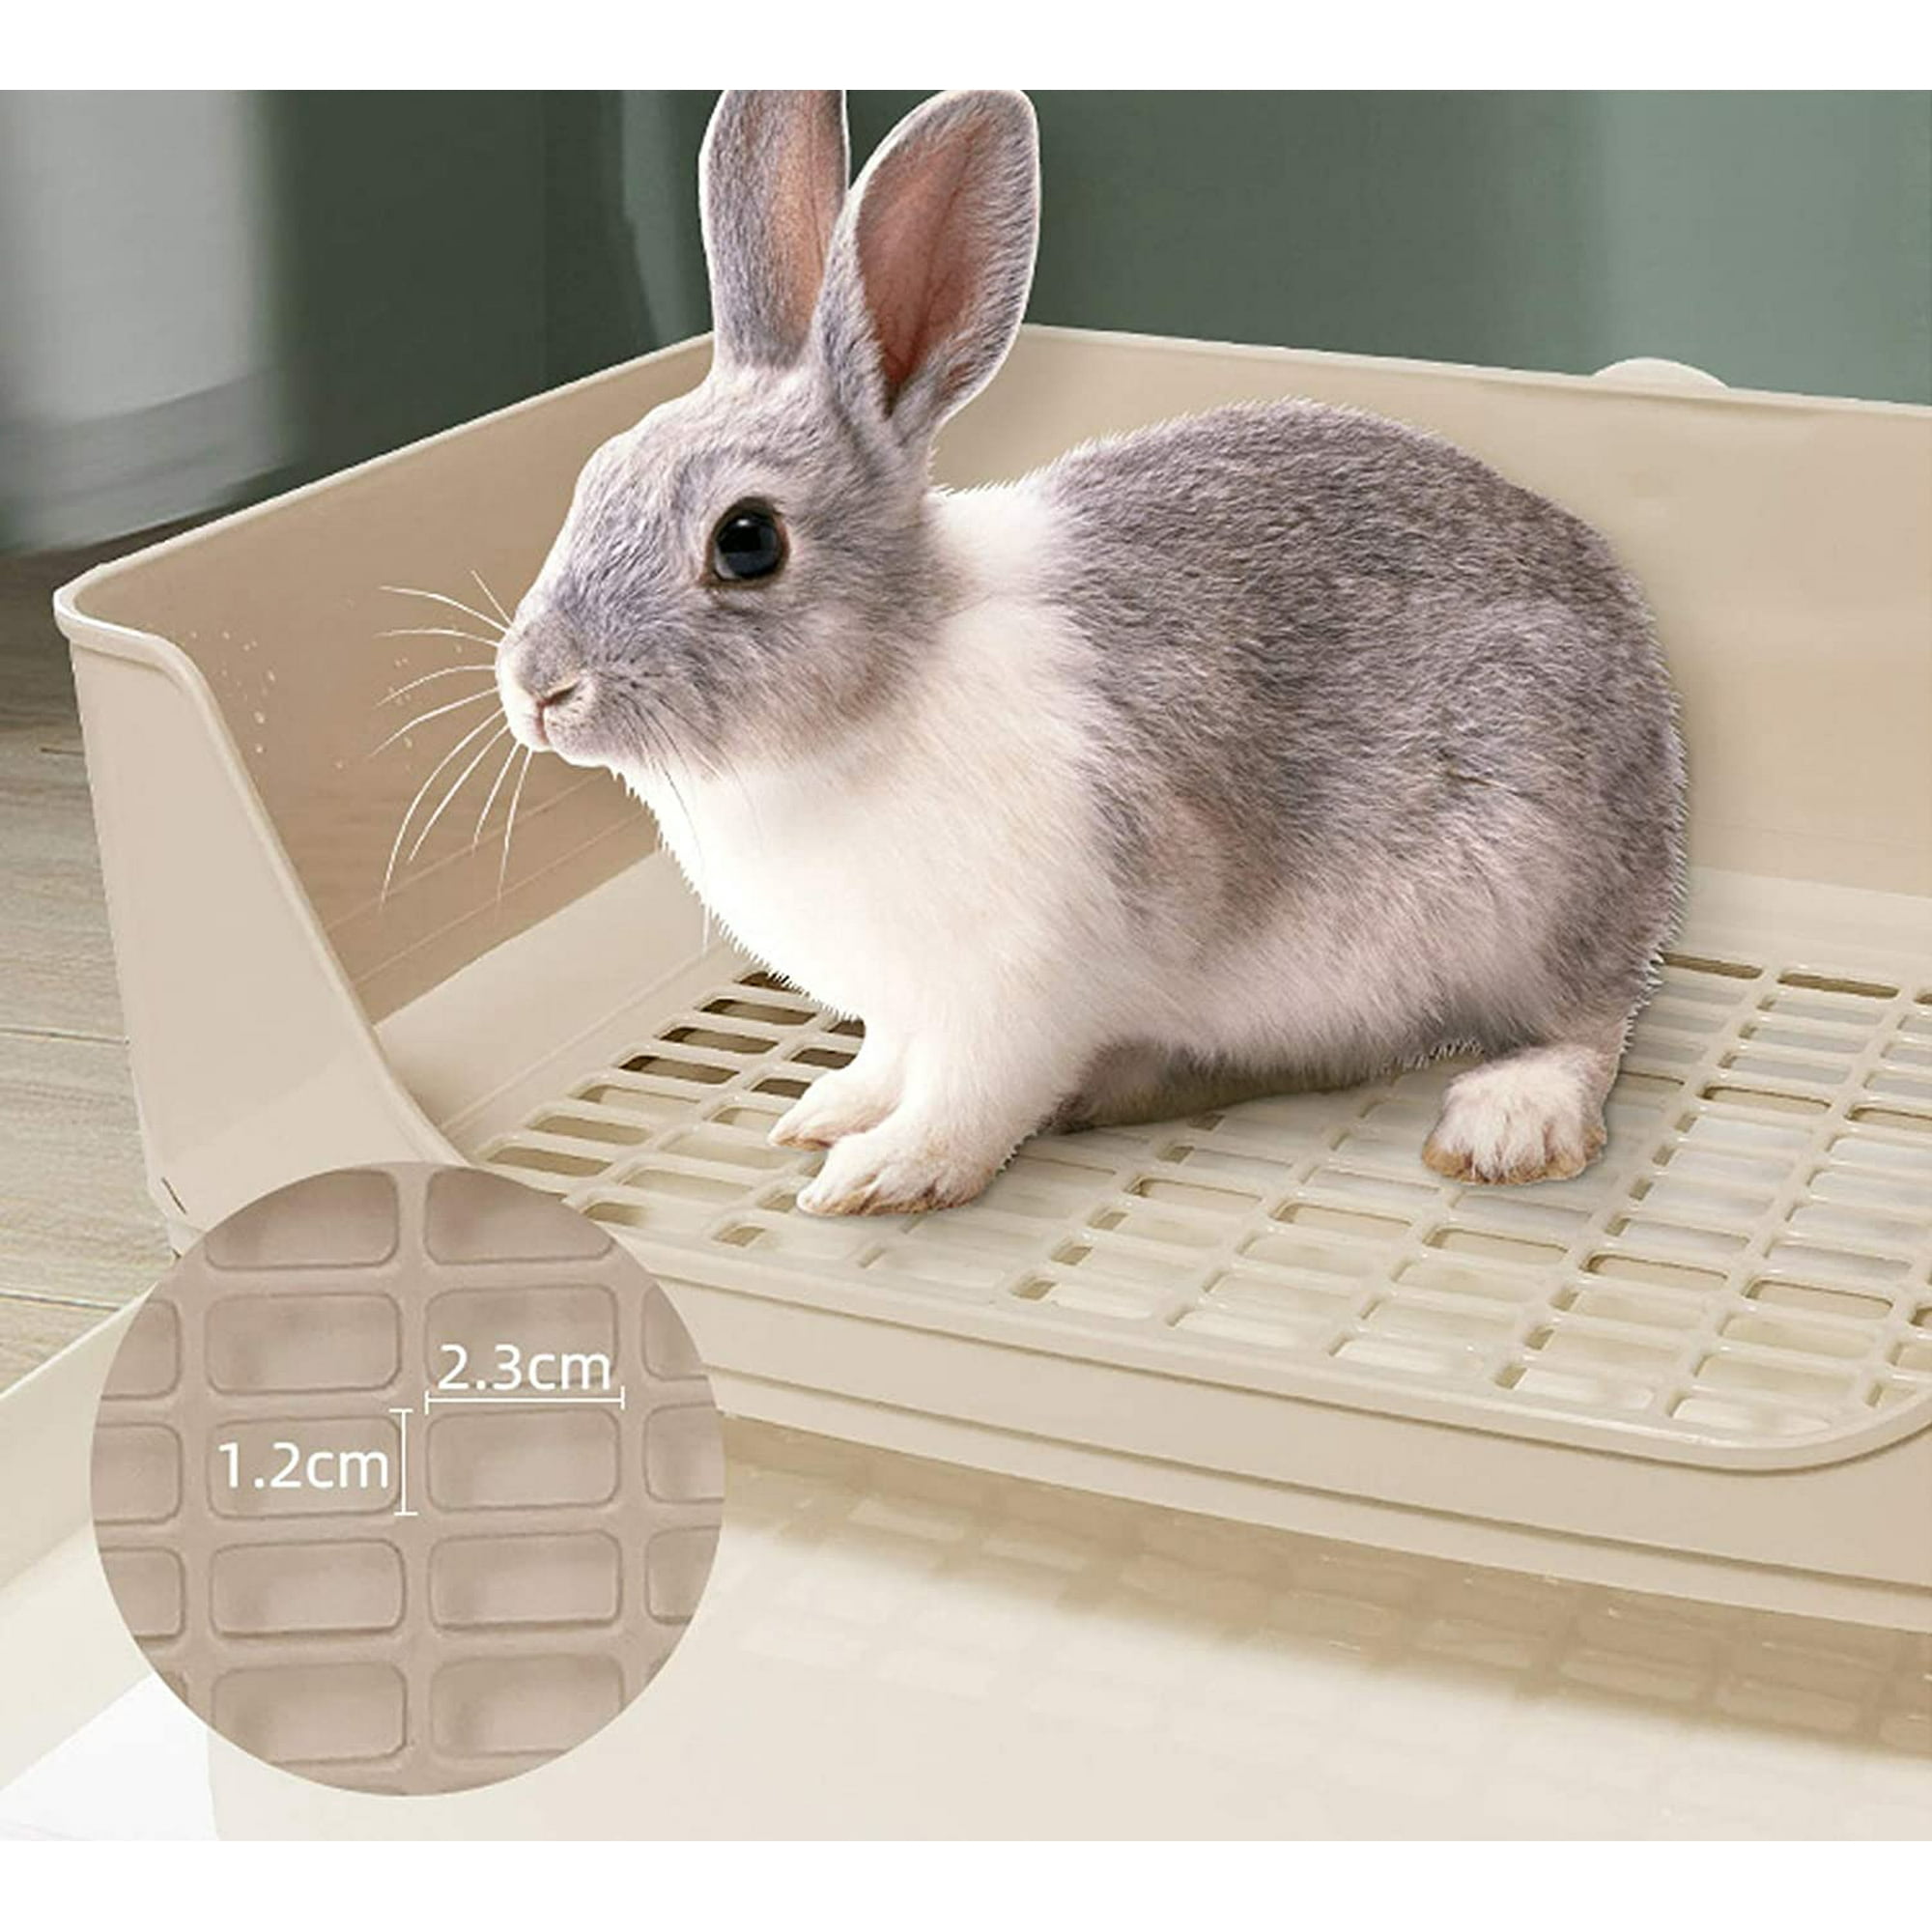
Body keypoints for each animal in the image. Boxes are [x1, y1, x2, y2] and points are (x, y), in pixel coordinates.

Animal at [495, 88, 1685, 1218]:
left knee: (1588, 1024)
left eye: (747, 541)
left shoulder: (1024, 983)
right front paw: (825, 1111)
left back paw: (1505, 1122)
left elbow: (970, 1096)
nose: (539, 687)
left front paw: (880, 1176)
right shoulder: (905, 1003)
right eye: (594, 474)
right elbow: (888, 1060)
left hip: (1534, 880)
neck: (886, 685)